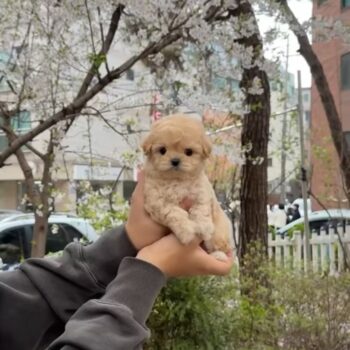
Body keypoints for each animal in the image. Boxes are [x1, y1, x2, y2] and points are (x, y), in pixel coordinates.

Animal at [141, 113, 234, 262]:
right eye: (162, 150)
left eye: (189, 152)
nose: (175, 161)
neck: (177, 180)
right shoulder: (157, 202)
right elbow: (174, 213)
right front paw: (187, 232)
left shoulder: (202, 193)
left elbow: (201, 210)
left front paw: (203, 227)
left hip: (219, 234)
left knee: (218, 247)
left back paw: (218, 256)